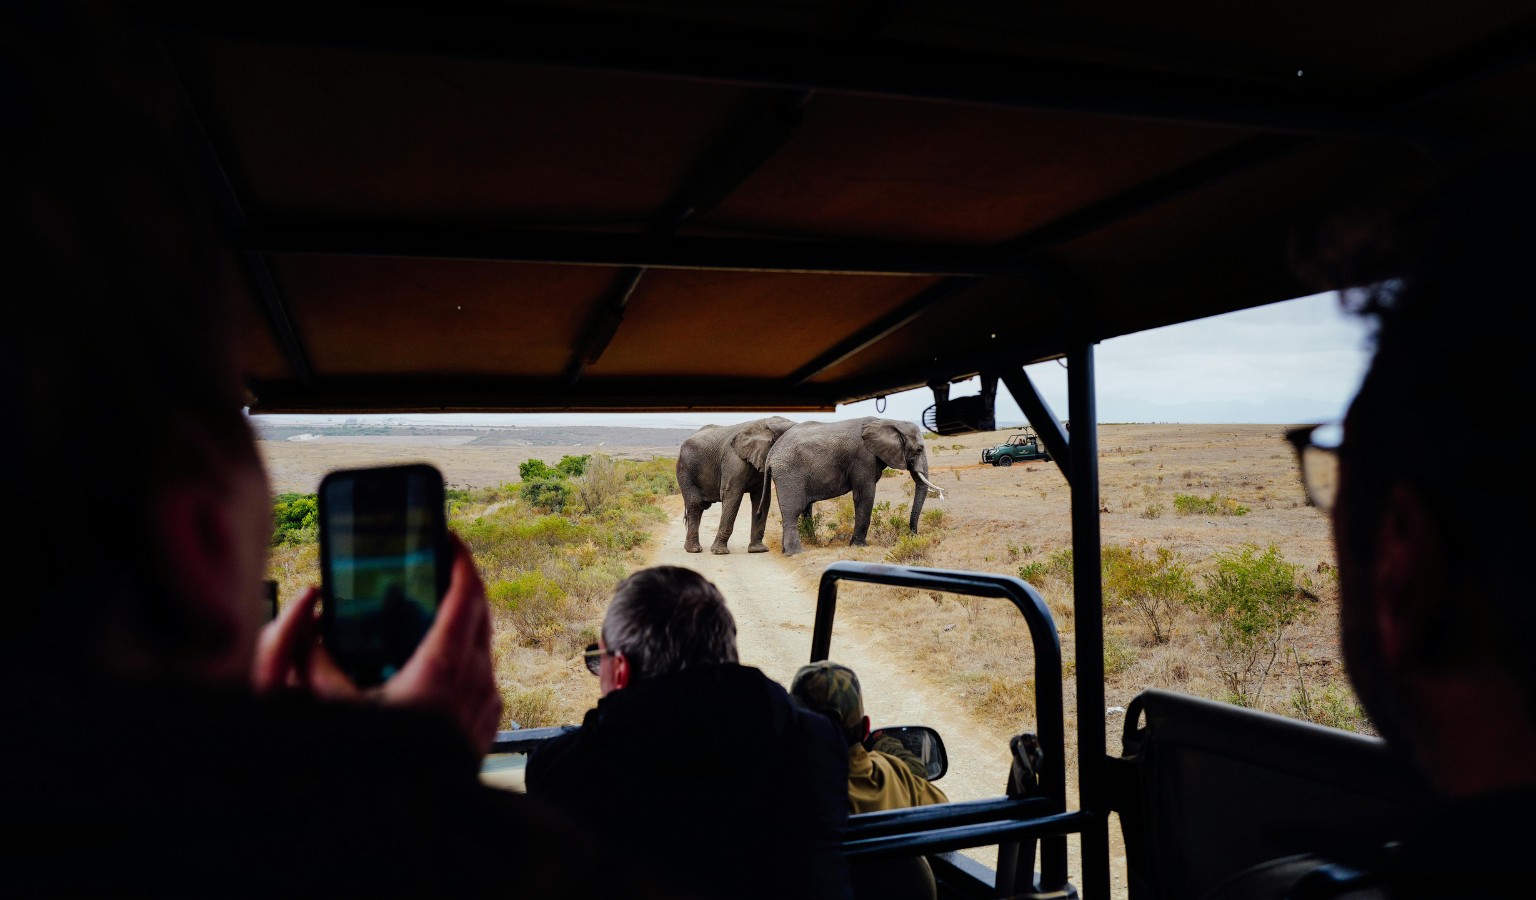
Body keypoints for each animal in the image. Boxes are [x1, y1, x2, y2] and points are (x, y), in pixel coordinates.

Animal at [676, 416, 797, 554]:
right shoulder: (734, 460)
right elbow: (732, 495)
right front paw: (720, 552)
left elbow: (762, 498)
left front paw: (758, 550)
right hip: (685, 470)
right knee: (695, 505)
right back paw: (694, 549)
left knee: (700, 507)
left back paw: (690, 548)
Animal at [765, 417, 945, 556]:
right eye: (919, 449)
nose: (913, 535)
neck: (889, 421)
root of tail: (772, 453)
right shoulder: (863, 458)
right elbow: (865, 495)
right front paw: (859, 546)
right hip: (789, 473)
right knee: (793, 511)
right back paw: (794, 552)